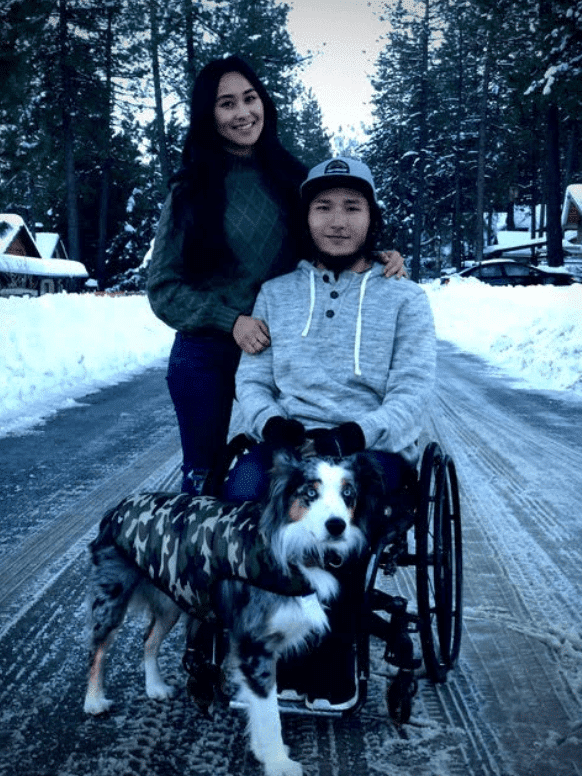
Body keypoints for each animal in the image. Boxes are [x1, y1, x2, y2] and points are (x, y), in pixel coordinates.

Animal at [83, 452, 384, 776]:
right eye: (310, 493)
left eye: (348, 493)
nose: (336, 525)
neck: (292, 546)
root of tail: (118, 506)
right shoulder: (255, 645)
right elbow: (269, 712)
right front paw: (278, 762)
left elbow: (260, 708)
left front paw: (264, 752)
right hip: (113, 595)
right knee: (98, 648)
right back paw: (94, 700)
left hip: (171, 600)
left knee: (149, 639)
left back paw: (155, 687)